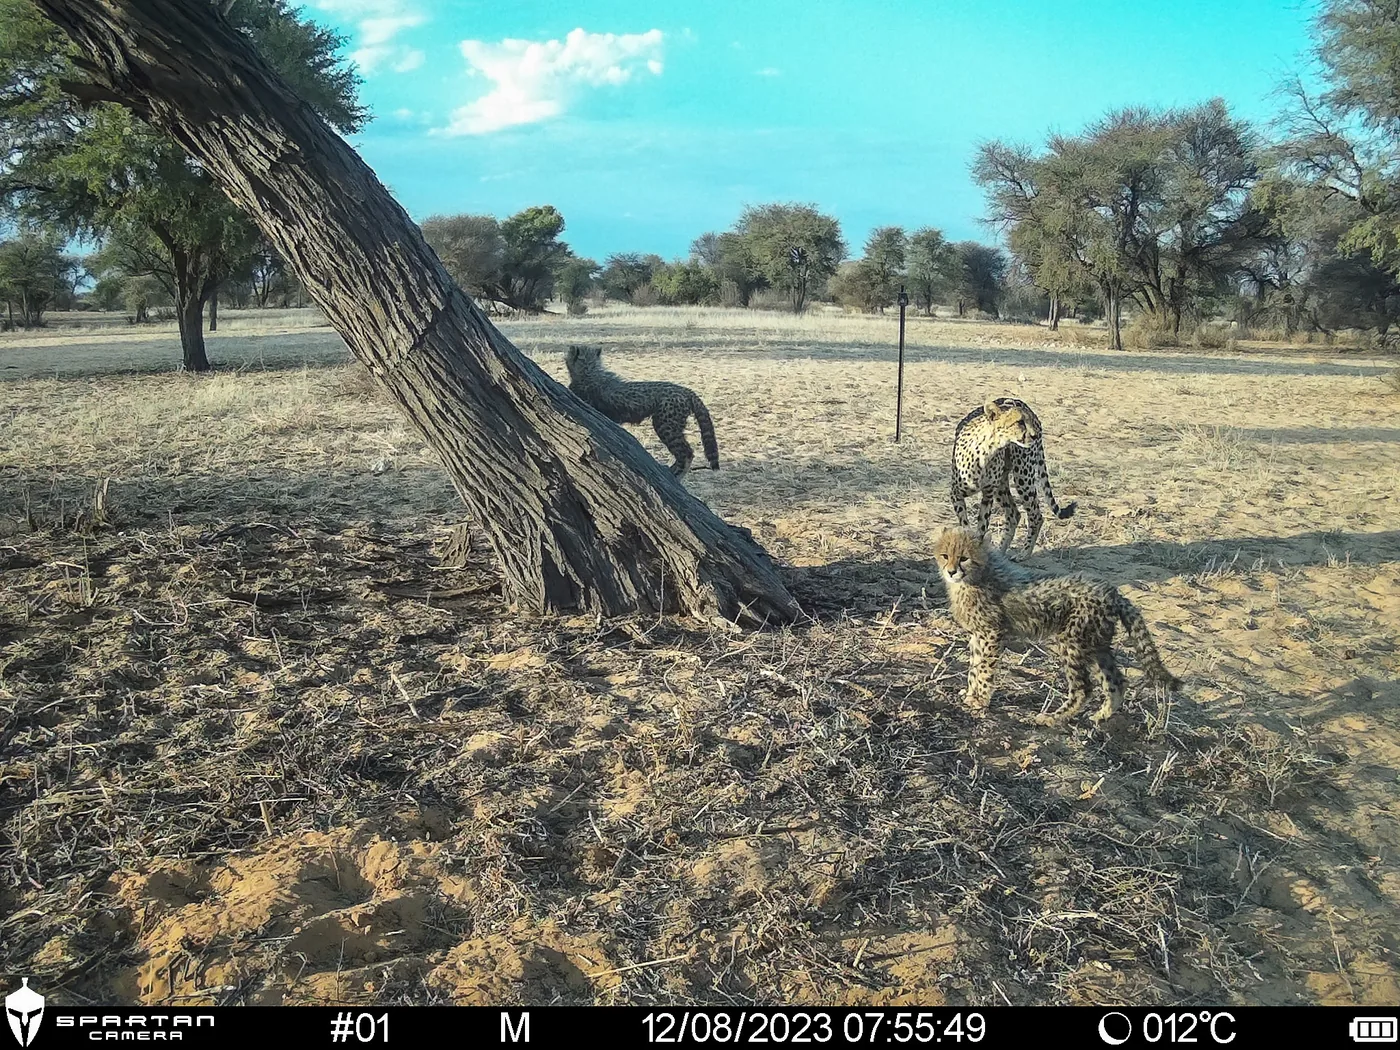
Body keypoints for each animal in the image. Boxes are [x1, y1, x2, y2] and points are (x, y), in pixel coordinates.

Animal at [564, 344, 719, 476]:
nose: (567, 352)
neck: (589, 370)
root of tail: (687, 390)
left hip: (665, 424)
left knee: (686, 453)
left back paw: (675, 474)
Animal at [933, 526, 1182, 726]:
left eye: (964, 558)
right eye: (945, 556)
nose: (951, 571)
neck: (979, 575)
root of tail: (1111, 591)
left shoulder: (992, 633)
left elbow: (984, 669)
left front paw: (980, 700)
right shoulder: (978, 635)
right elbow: (974, 667)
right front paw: (970, 694)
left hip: (1072, 642)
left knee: (1083, 689)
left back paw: (1053, 718)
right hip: (1097, 646)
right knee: (1116, 682)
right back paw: (1100, 717)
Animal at [950, 398, 1076, 558]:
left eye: (1029, 421)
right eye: (1020, 422)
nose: (1034, 435)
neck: (987, 449)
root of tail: (1018, 400)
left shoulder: (988, 494)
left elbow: (982, 527)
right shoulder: (956, 493)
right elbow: (965, 525)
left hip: (1022, 476)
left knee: (1035, 516)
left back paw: (1024, 554)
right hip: (1002, 485)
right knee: (1013, 514)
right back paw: (1001, 552)